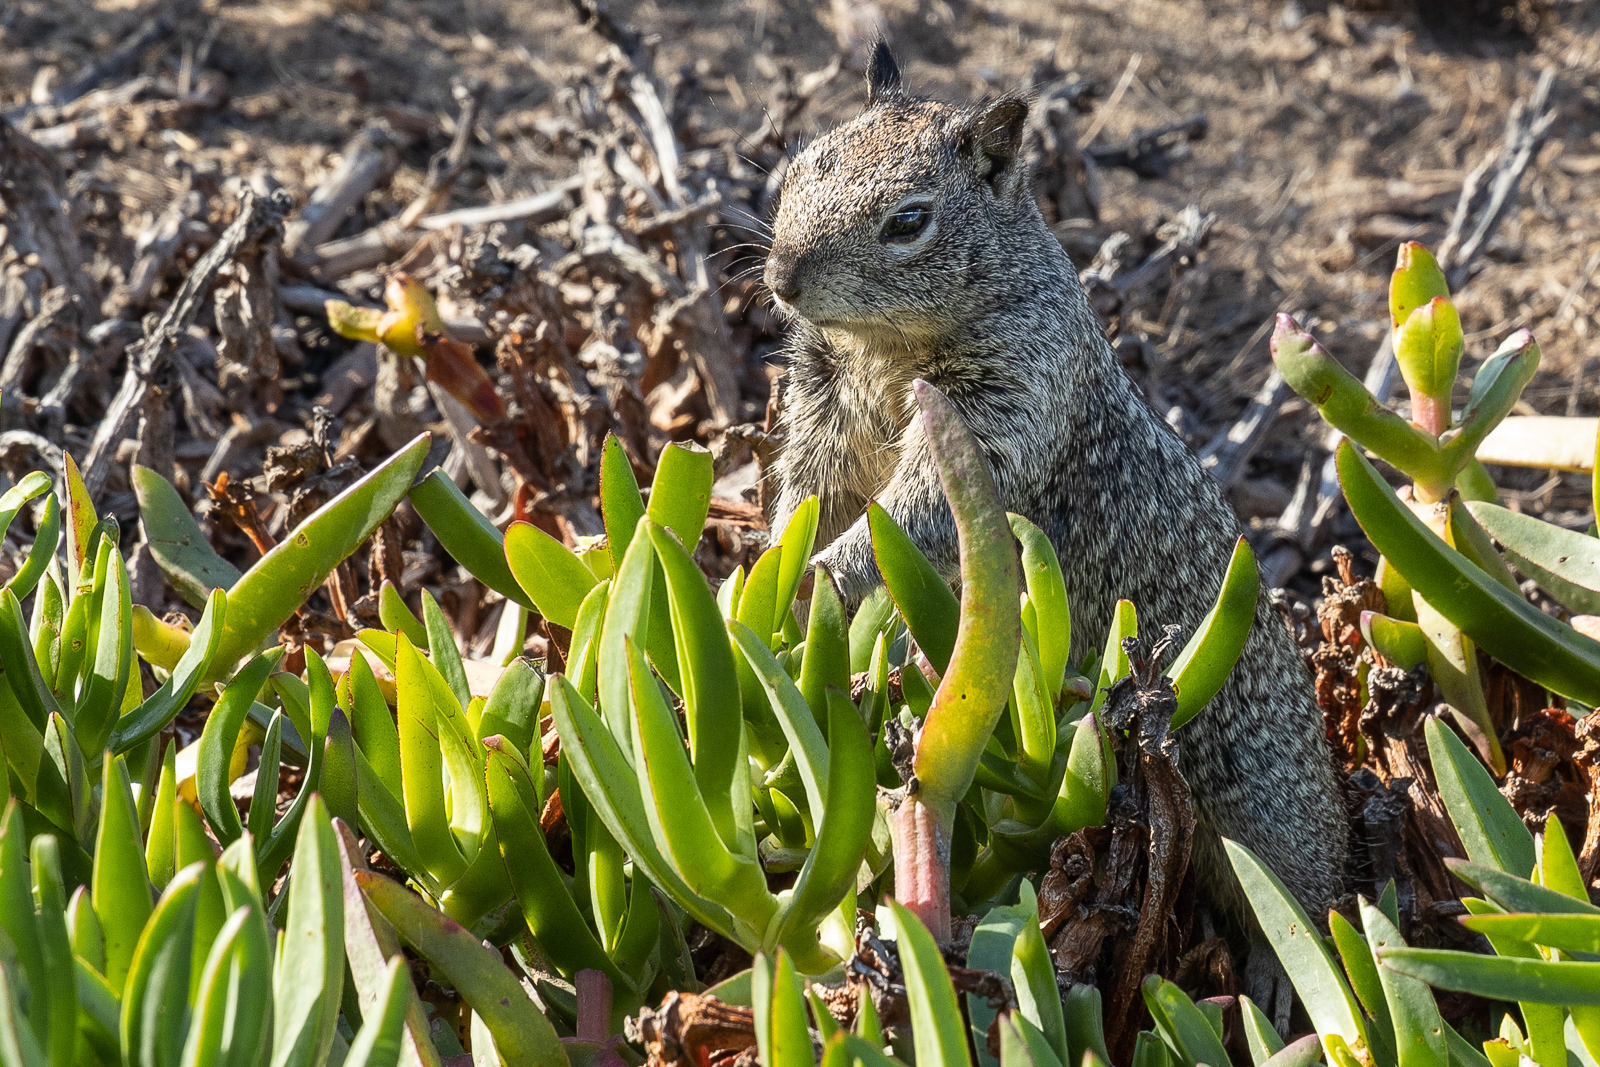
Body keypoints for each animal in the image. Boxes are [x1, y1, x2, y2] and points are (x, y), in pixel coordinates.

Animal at [763, 44, 1347, 923]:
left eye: (908, 221)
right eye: (797, 168)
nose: (783, 278)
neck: (880, 345)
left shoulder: (1000, 409)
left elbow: (921, 510)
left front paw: (826, 569)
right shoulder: (824, 408)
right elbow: (807, 493)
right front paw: (764, 566)